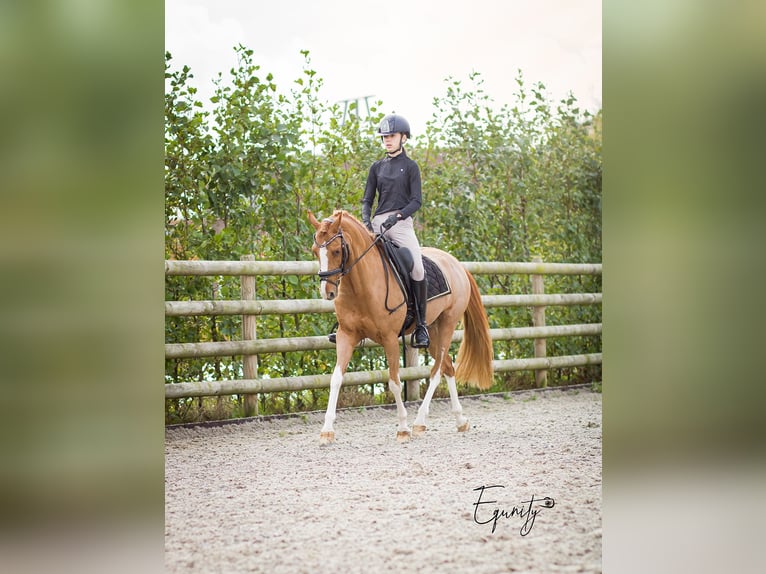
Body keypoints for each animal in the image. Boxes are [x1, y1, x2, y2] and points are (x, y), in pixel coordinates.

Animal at [308, 209, 494, 444]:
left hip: (447, 325)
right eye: (315, 251)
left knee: (437, 371)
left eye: (336, 250)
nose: (328, 292)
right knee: (448, 367)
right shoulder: (345, 336)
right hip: (431, 331)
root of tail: (456, 264)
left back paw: (419, 422)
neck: (362, 285)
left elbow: (395, 382)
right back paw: (460, 420)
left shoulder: (389, 339)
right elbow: (336, 379)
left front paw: (403, 429)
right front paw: (327, 431)